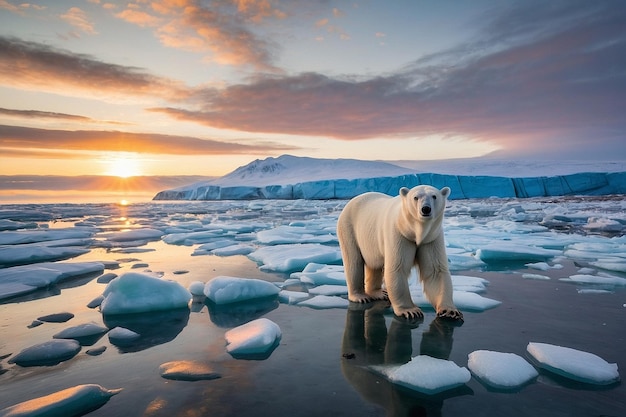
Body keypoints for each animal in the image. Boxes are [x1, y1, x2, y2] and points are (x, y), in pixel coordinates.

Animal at [338, 184, 460, 320]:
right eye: (416, 197)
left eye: (434, 196)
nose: (426, 209)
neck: (414, 230)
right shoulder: (399, 234)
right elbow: (397, 268)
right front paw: (411, 311)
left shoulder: (431, 238)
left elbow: (435, 271)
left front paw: (450, 311)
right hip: (349, 228)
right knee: (354, 262)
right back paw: (360, 296)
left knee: (375, 264)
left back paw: (379, 292)